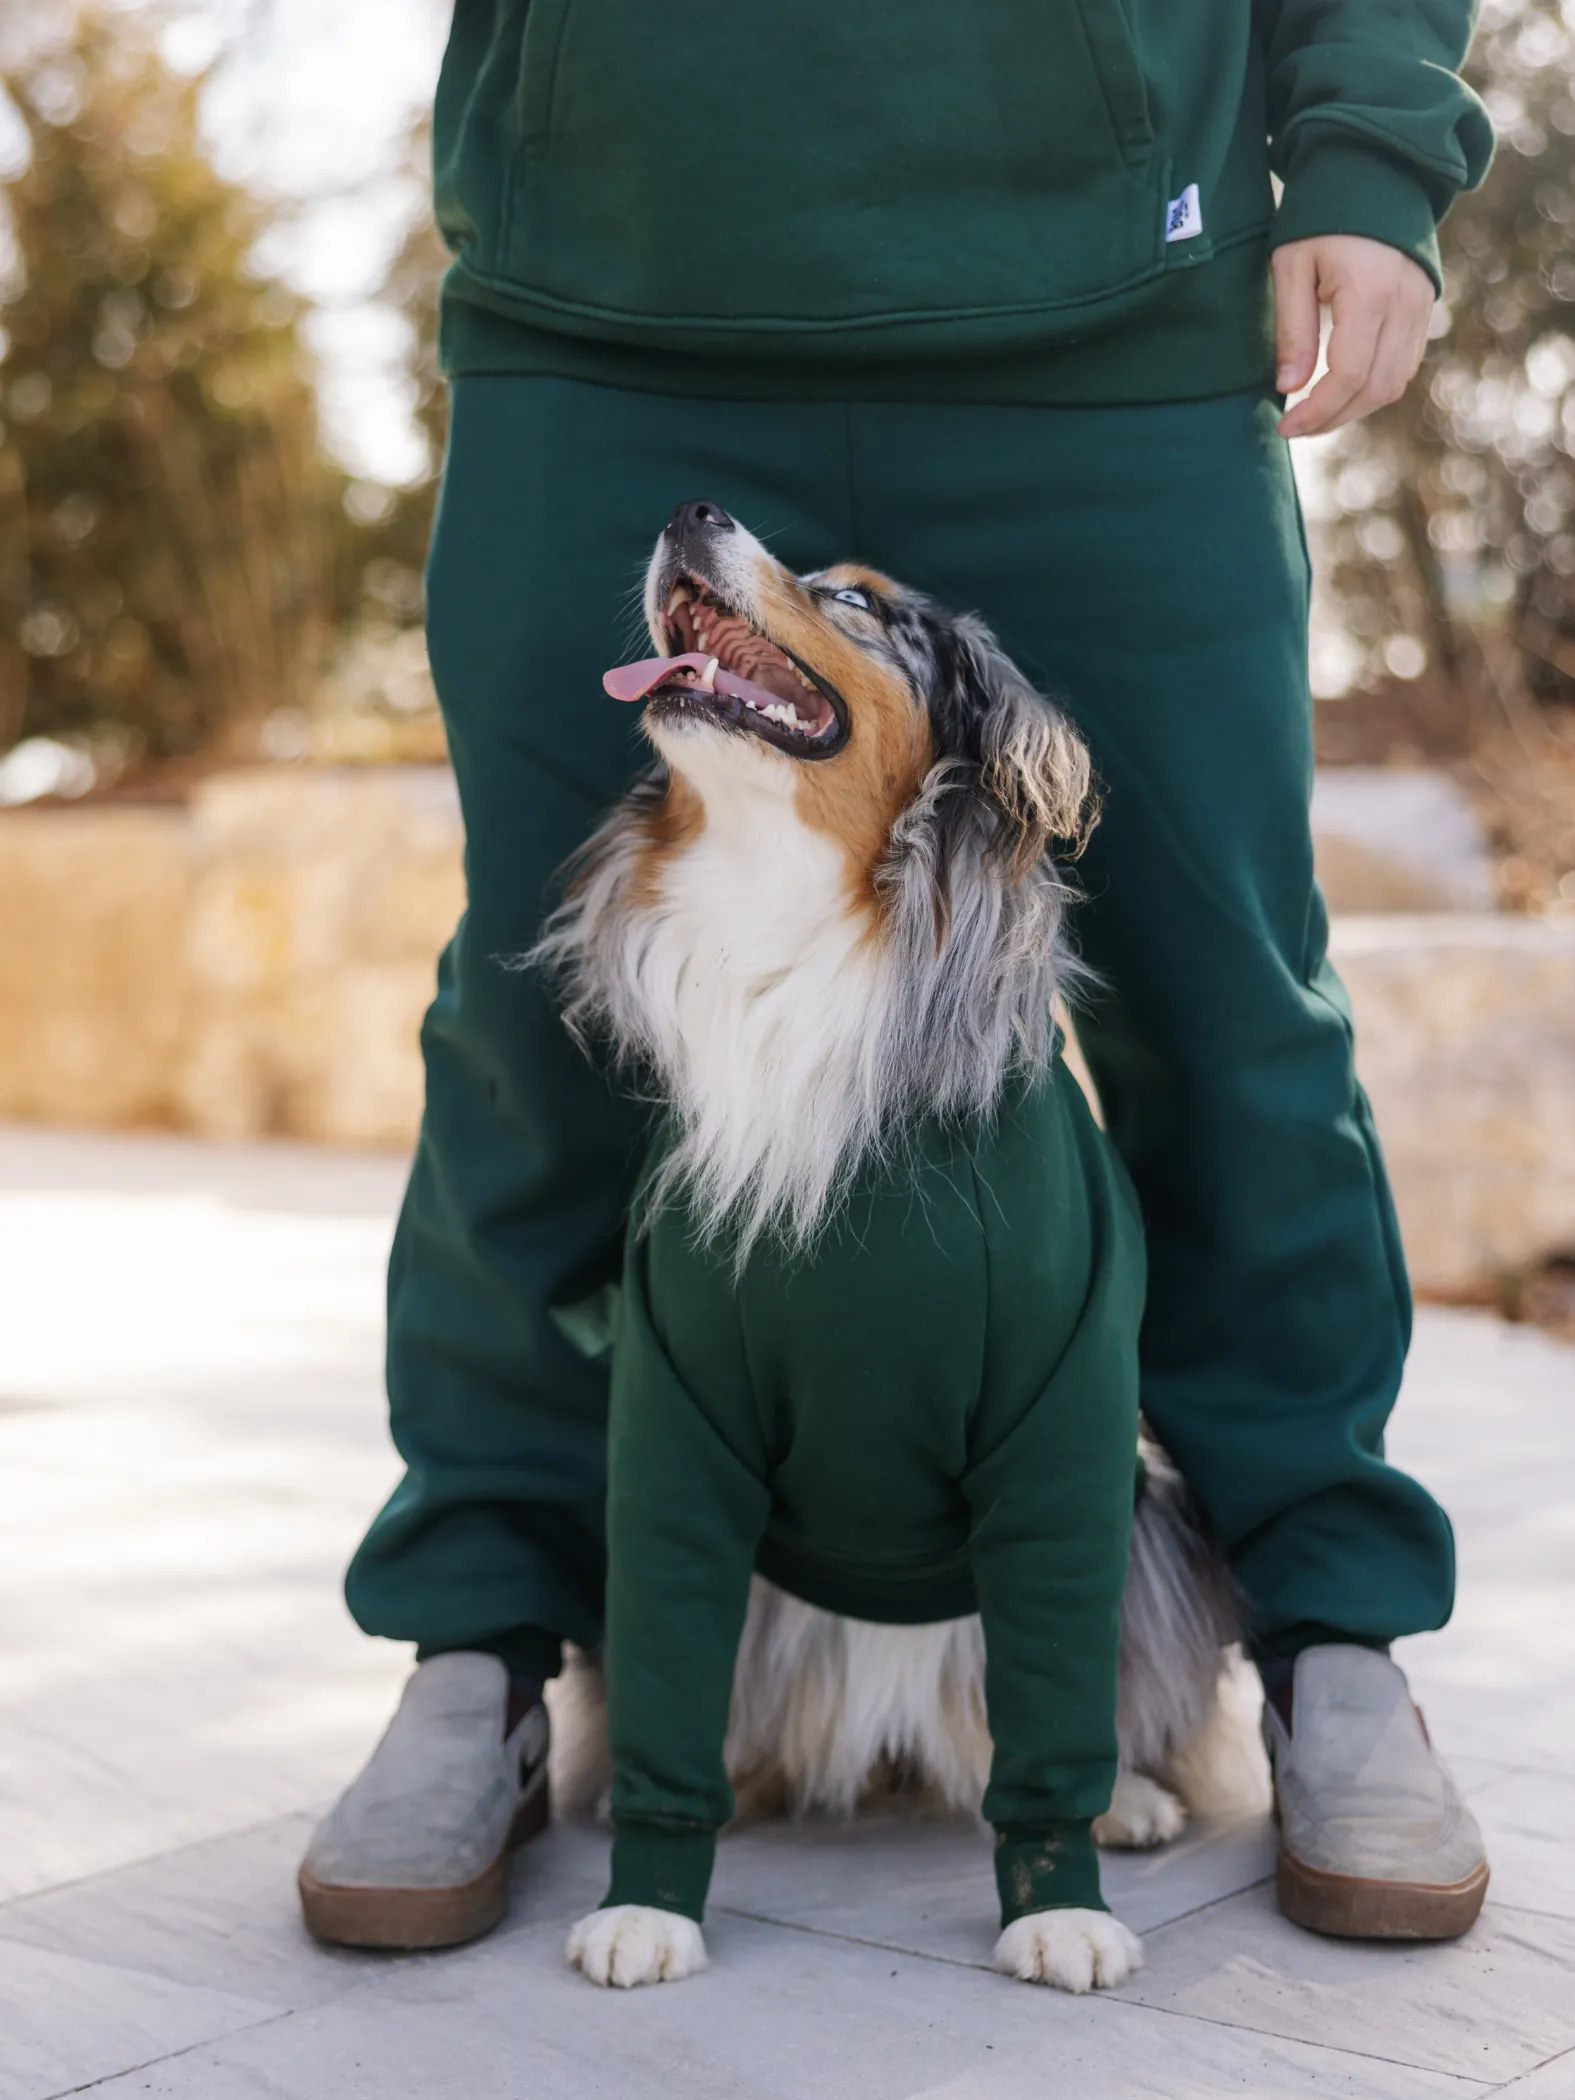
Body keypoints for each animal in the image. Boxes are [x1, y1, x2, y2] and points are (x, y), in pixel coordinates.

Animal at [533, 499, 1260, 1990]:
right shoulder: (673, 1425)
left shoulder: (1063, 1412)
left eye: (859, 604)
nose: (688, 507)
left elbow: (1055, 1699)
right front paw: (648, 1903)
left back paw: (1129, 1798)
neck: (794, 929)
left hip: (1143, 1522)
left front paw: (1060, 1908)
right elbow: (663, 1677)